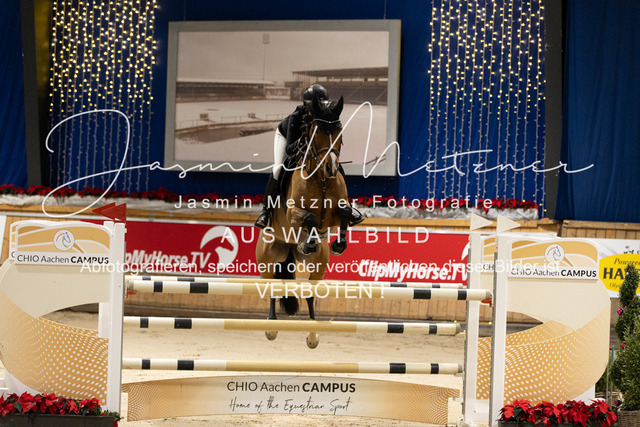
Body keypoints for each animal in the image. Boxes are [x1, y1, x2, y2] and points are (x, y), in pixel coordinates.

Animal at [255, 95, 352, 349]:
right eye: (316, 132)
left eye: (339, 130)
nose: (331, 167)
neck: (321, 179)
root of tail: (288, 247)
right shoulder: (293, 214)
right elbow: (309, 217)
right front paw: (308, 240)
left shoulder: (335, 214)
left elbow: (345, 214)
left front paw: (338, 245)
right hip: (268, 258)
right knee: (272, 286)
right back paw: (271, 328)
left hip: (318, 263)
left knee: (309, 292)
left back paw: (313, 334)